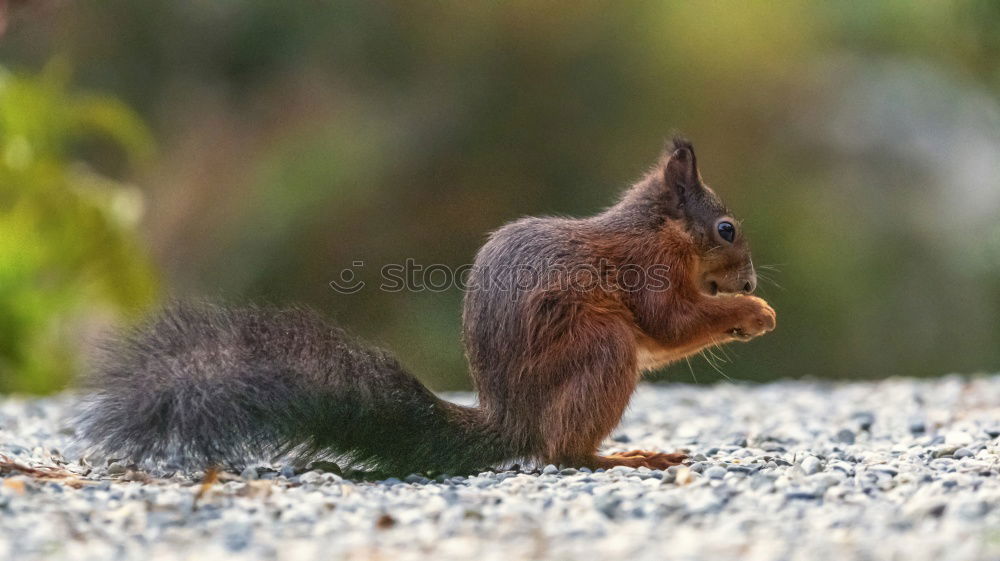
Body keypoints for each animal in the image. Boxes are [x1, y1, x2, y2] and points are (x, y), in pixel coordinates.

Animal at [76, 138, 772, 474]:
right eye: (727, 229)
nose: (747, 279)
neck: (658, 231)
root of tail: (510, 422)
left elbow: (666, 334)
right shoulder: (644, 271)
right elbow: (667, 322)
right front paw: (755, 314)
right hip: (599, 351)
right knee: (560, 453)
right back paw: (623, 456)